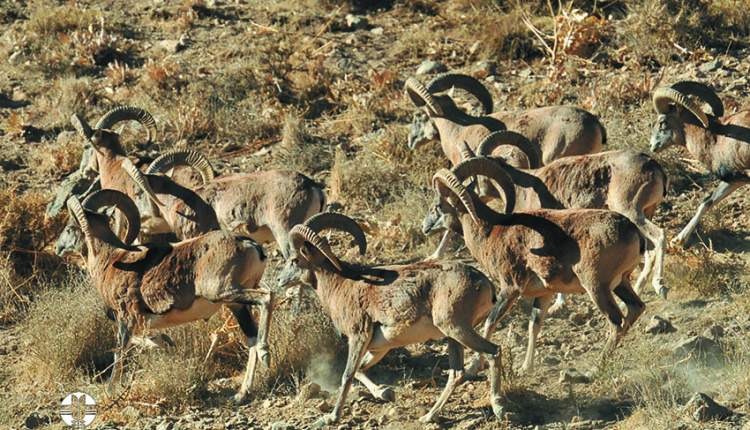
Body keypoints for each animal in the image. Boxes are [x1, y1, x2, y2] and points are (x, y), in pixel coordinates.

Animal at [64, 189, 270, 404]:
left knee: (266, 298)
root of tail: (251, 246)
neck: (111, 261)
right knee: (252, 338)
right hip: (236, 305)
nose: (61, 248)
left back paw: (265, 354)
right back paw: (241, 394)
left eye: (70, 228)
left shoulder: (126, 319)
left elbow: (119, 353)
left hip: (222, 291)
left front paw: (111, 393)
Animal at [276, 212, 506, 424]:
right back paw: (429, 417)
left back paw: (498, 407)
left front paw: (332, 417)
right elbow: (359, 371)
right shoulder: (379, 348)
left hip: (456, 329)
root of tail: (483, 283)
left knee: (493, 352)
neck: (340, 285)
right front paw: (385, 393)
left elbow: (347, 374)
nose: (280, 280)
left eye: (295, 260)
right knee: (456, 374)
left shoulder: (358, 337)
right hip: (452, 337)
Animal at [426, 158, 648, 376]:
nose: (425, 227)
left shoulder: (511, 288)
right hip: (620, 284)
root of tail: (633, 231)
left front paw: (474, 367)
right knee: (635, 308)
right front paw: (526, 368)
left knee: (616, 321)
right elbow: (534, 325)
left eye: (438, 205)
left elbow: (490, 323)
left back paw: (595, 370)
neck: (491, 231)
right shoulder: (544, 293)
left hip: (596, 287)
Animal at [648, 81, 748, 247]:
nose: (652, 146)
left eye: (662, 123)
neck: (717, 140)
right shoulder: (735, 180)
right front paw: (678, 240)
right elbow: (707, 202)